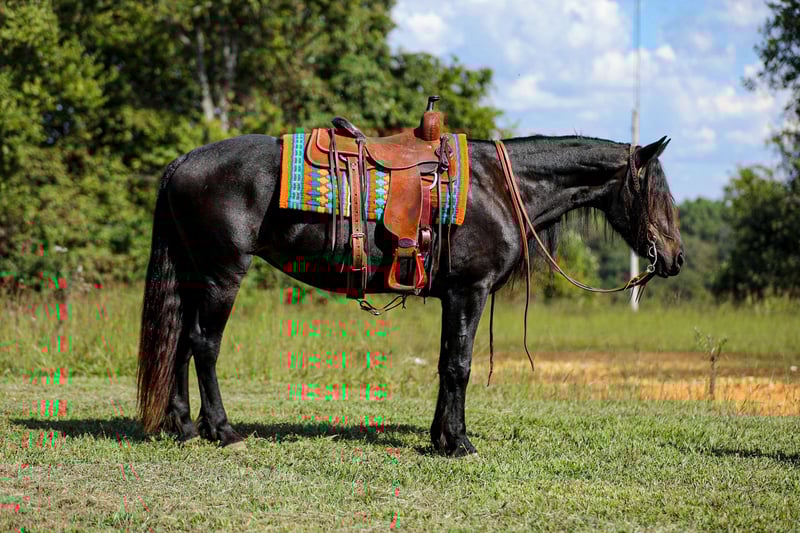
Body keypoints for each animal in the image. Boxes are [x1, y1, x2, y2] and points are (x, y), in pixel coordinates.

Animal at [137, 132, 684, 456]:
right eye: (656, 193)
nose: (675, 258)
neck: (498, 188)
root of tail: (183, 162)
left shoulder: (452, 297)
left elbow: (445, 364)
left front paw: (441, 436)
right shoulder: (469, 291)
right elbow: (459, 366)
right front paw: (459, 442)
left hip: (195, 277)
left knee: (181, 342)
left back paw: (183, 426)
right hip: (222, 275)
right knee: (204, 344)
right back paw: (222, 430)